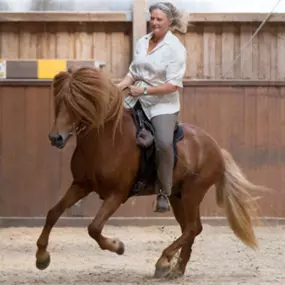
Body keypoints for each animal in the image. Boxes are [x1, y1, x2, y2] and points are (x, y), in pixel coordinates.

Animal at [35, 66, 264, 278]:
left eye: (78, 103)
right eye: (59, 101)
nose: (56, 137)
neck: (107, 140)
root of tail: (216, 148)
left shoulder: (117, 194)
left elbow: (94, 227)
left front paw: (118, 246)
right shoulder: (81, 185)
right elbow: (53, 213)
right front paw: (42, 257)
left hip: (193, 194)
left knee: (192, 228)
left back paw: (163, 261)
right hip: (177, 196)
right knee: (190, 228)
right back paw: (176, 269)